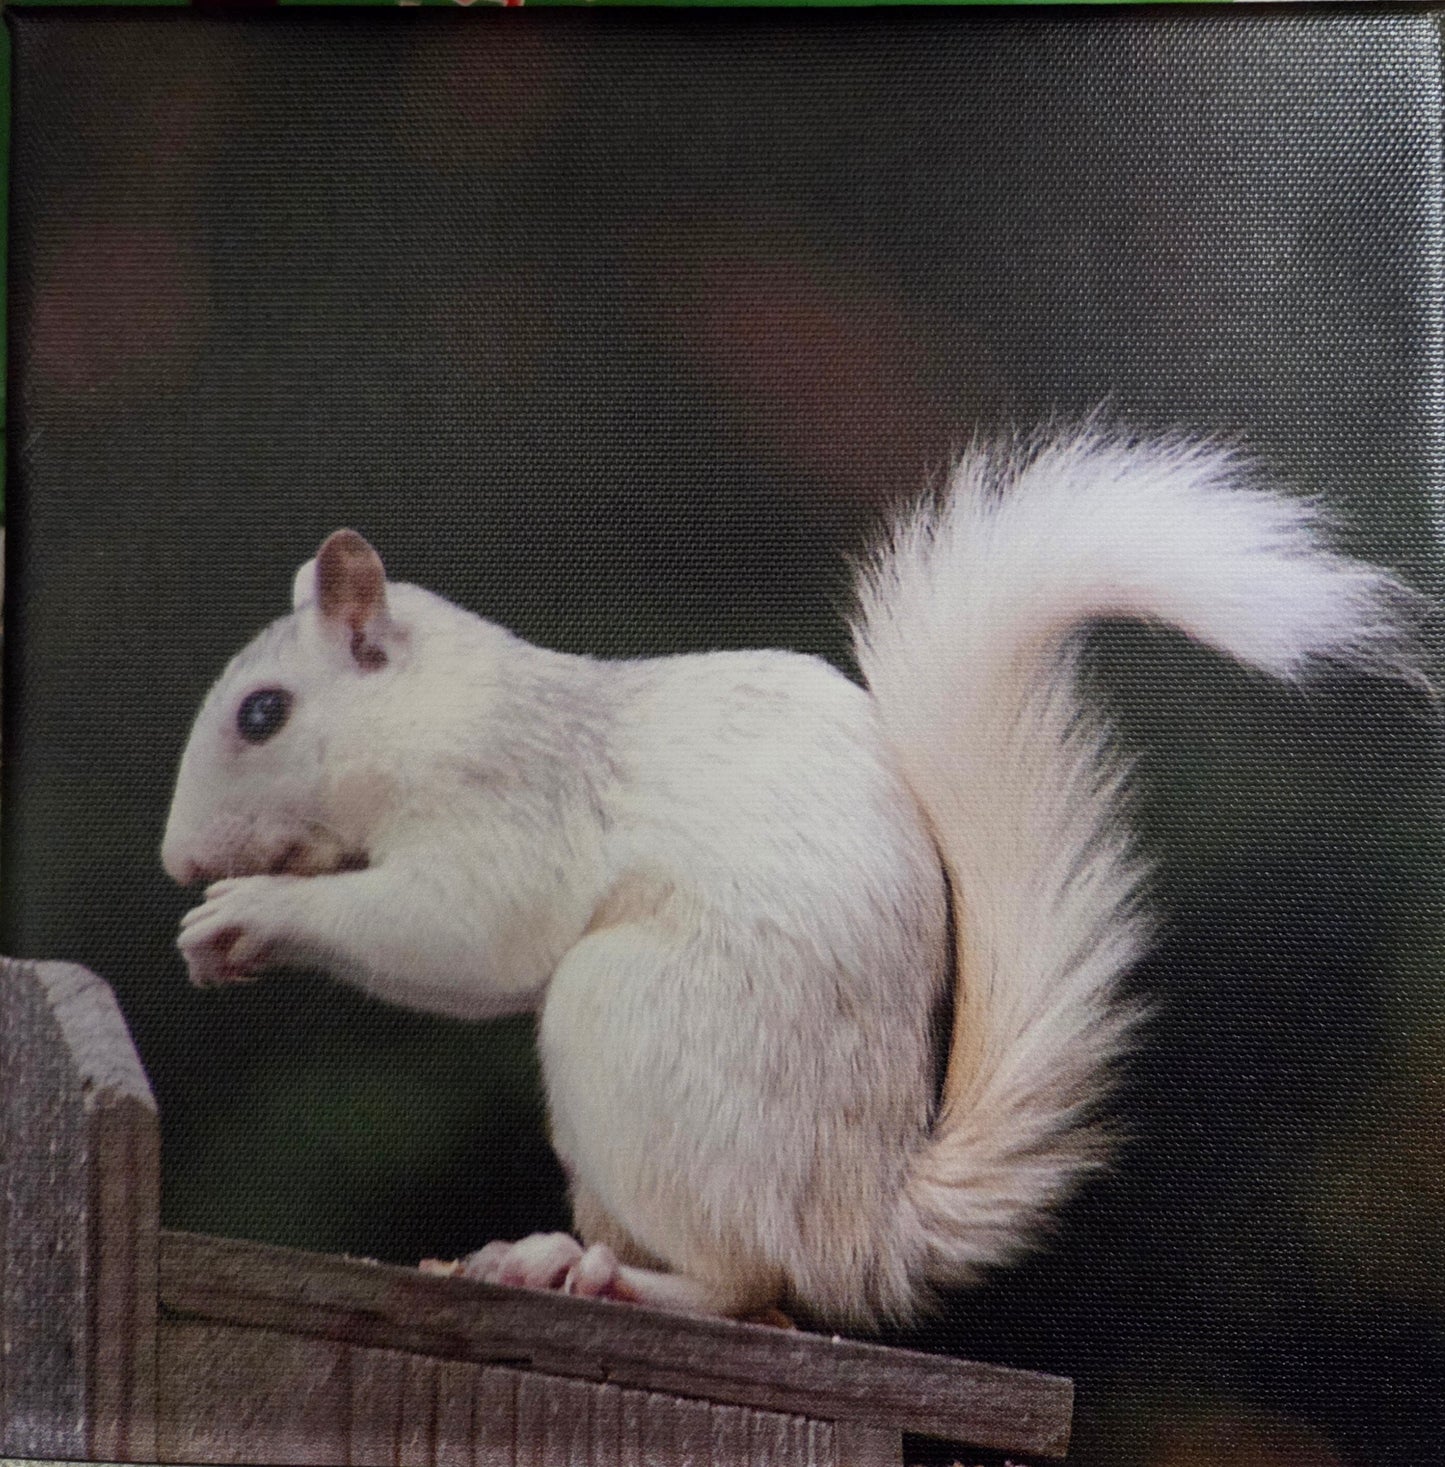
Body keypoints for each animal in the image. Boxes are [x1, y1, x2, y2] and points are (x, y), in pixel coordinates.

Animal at [161, 428, 1425, 1330]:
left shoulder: (508, 810)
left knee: (742, 1282)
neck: (435, 711)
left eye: (263, 715)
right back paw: (538, 1256)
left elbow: (461, 935)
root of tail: (858, 1226)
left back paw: (611, 1277)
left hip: (630, 1026)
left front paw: (246, 916)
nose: (178, 860)